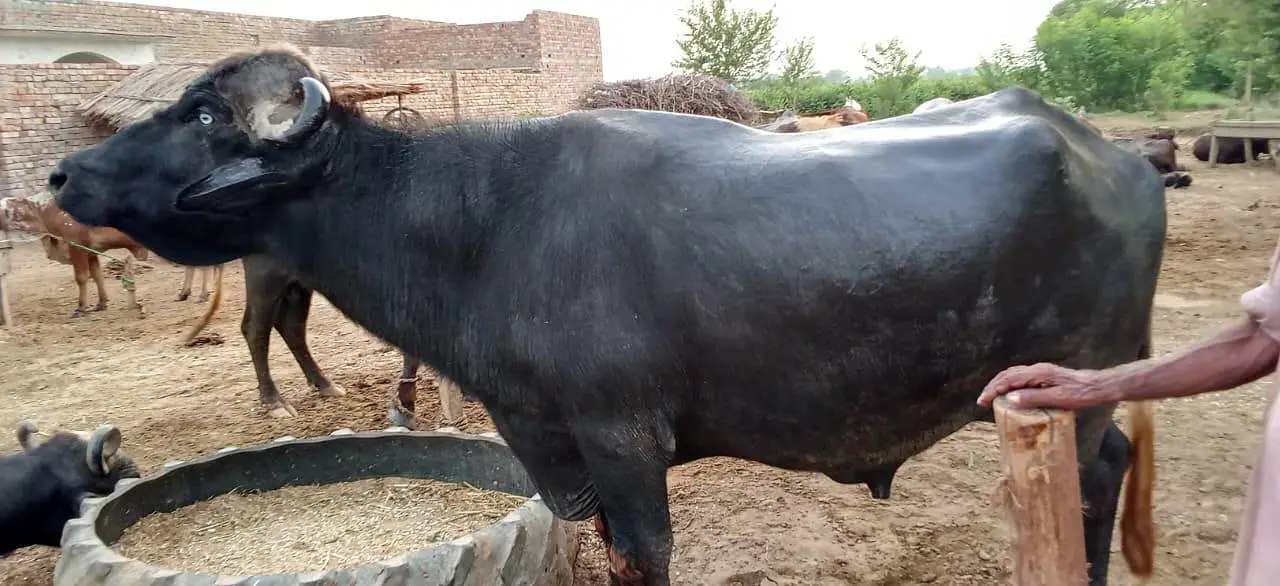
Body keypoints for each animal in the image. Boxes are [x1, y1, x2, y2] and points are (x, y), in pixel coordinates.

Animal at [48, 46, 1165, 585]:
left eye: (202, 113)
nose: (63, 171)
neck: (486, 222)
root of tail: (1114, 157)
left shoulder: (625, 443)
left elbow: (649, 555)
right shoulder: (554, 447)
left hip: (1075, 392)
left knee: (1091, 484)